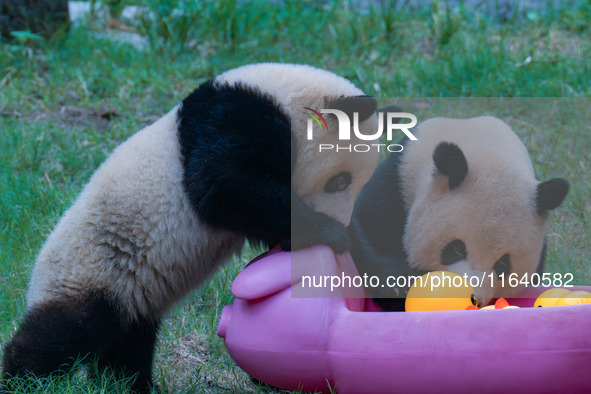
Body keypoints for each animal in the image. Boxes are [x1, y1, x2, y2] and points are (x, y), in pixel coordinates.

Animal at [1, 63, 380, 392]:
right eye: (340, 181)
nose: (344, 222)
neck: (281, 96)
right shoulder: (233, 118)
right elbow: (221, 186)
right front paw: (330, 232)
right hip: (93, 268)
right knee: (61, 333)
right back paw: (22, 379)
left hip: (131, 293)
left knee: (126, 345)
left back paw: (128, 385)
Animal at [350, 115, 572, 312]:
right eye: (456, 249)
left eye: (502, 263)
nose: (475, 298)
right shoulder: (397, 182)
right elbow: (369, 238)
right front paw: (400, 285)